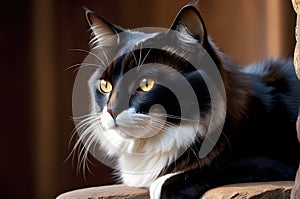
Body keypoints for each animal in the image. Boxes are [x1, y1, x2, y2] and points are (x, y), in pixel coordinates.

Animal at [75, 3, 300, 198]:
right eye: (105, 86)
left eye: (146, 84)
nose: (111, 110)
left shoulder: (278, 162)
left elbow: (213, 166)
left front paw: (161, 184)